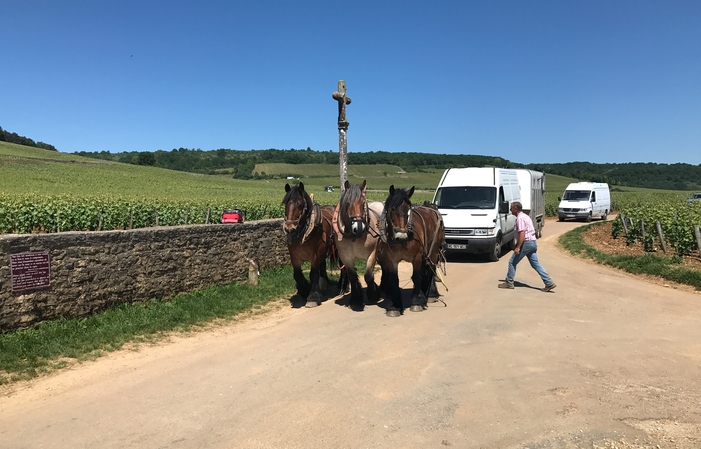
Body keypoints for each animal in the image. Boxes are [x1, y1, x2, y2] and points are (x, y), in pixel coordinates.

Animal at [332, 178, 386, 312]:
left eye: (363, 204)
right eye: (347, 204)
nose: (359, 228)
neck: (354, 237)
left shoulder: (372, 253)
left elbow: (368, 275)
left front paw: (373, 294)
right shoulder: (345, 257)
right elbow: (352, 276)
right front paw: (356, 300)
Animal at [378, 184, 442, 316]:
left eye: (409, 209)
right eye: (392, 209)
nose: (401, 236)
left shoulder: (417, 257)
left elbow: (416, 277)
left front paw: (416, 302)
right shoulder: (391, 260)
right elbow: (394, 280)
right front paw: (394, 306)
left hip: (433, 251)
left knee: (431, 270)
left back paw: (431, 294)